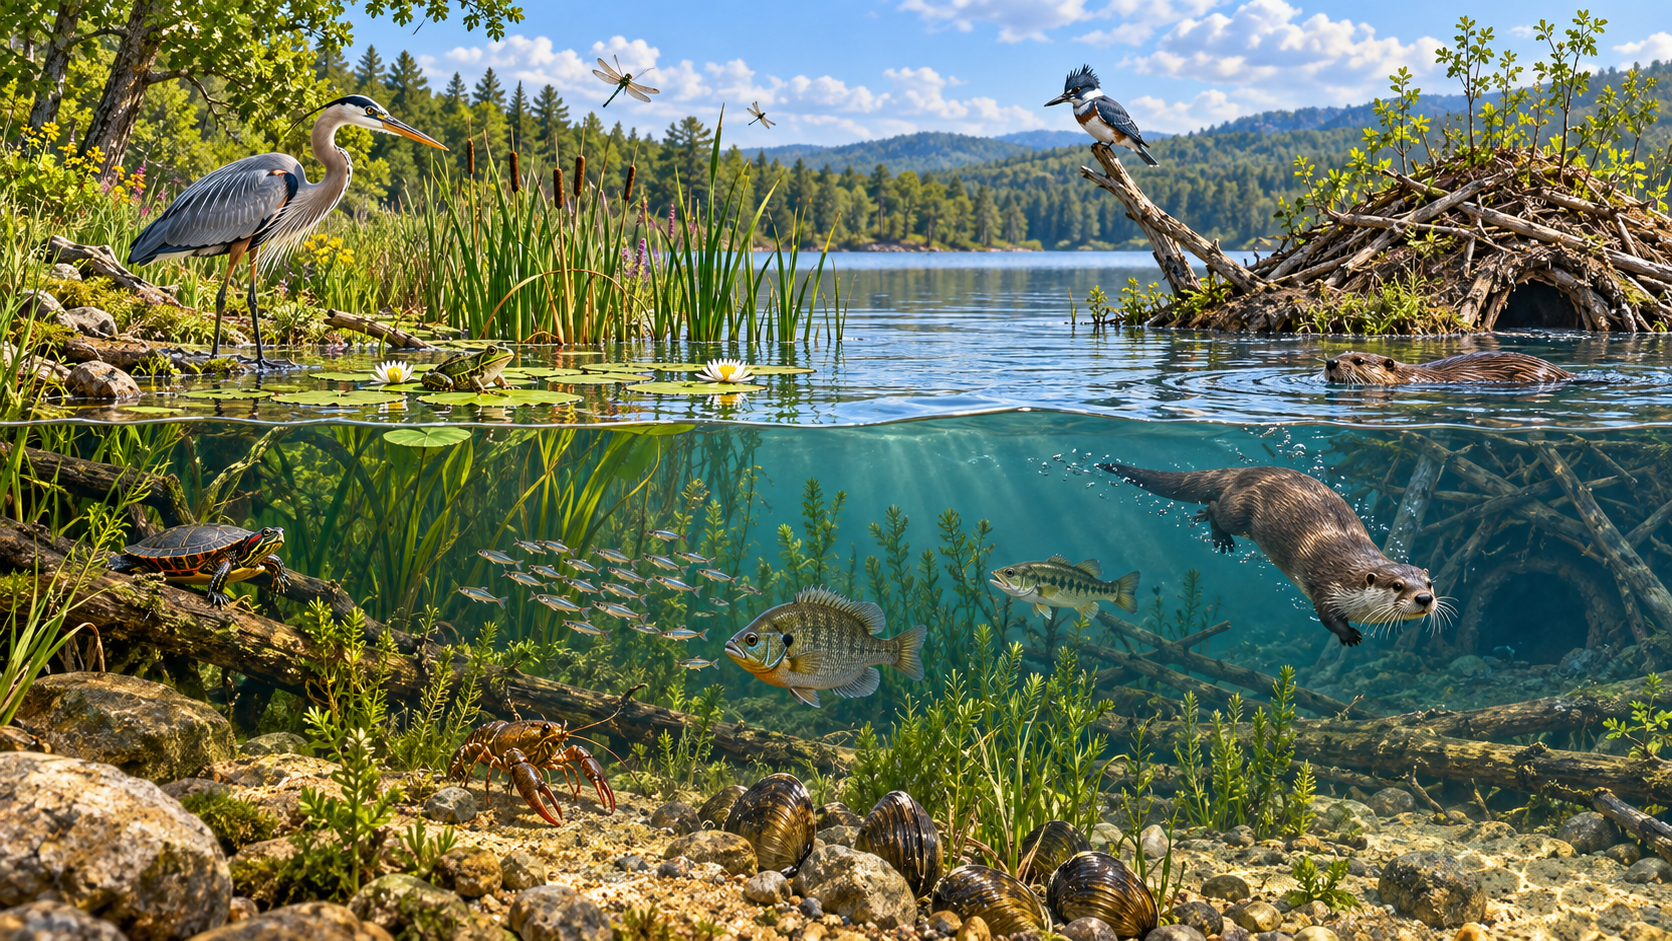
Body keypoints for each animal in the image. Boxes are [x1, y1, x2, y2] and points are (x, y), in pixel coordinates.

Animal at [1099, 463, 1440, 646]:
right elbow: (1327, 617)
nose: (1424, 599)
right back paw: (1217, 534)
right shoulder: (1327, 588)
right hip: (1239, 511)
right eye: (1397, 585)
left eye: (1429, 583)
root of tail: (1243, 471)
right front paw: (1349, 635)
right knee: (1216, 507)